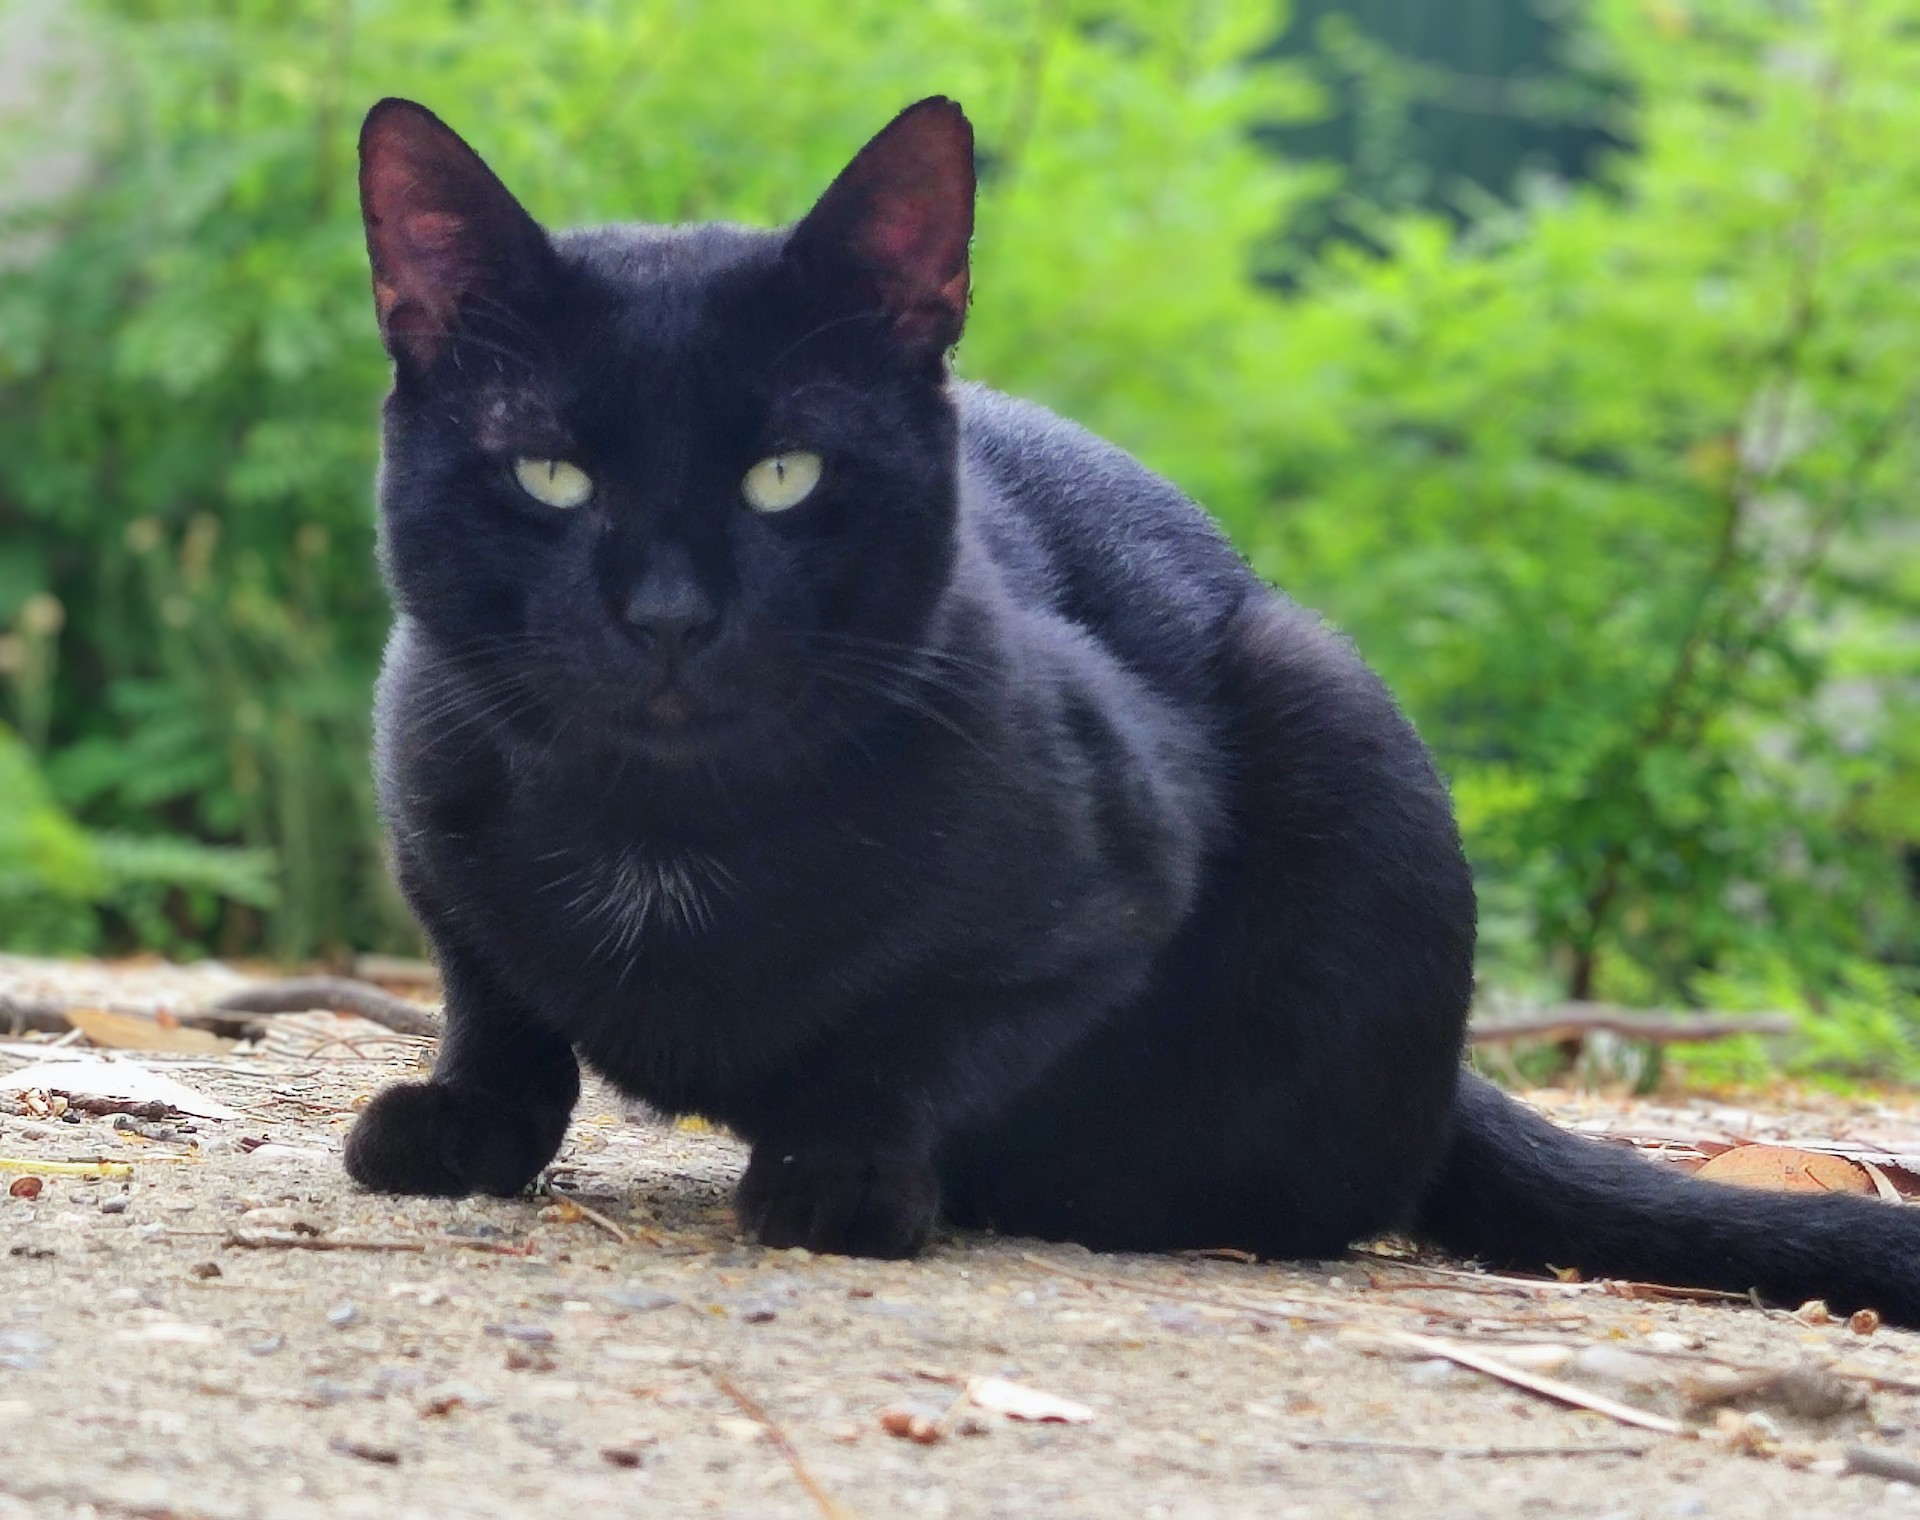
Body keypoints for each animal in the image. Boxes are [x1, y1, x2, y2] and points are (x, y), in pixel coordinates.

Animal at [345, 97, 1920, 1320]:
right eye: (550, 474)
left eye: (783, 475)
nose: (670, 614)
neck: (664, 827)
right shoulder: (428, 803)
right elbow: (497, 999)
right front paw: (463, 1121)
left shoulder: (1111, 889)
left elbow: (914, 1033)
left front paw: (842, 1168)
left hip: (1329, 707)